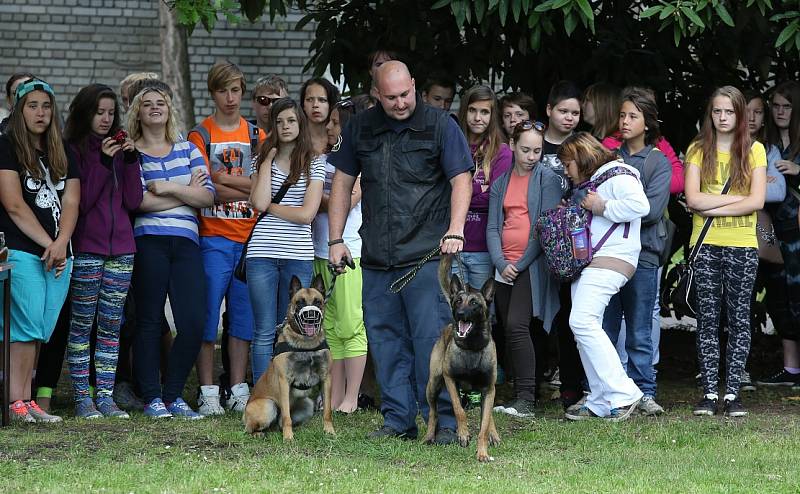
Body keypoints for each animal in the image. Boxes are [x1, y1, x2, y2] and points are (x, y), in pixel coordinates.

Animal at [241, 274, 334, 440]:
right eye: (299, 302)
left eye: (318, 301)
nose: (311, 317)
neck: (306, 344)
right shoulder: (284, 382)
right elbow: (286, 417)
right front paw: (288, 437)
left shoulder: (326, 378)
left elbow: (327, 411)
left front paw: (329, 431)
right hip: (268, 406)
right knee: (251, 428)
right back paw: (258, 434)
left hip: (307, 404)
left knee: (278, 424)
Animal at [422, 255, 496, 464]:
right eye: (458, 301)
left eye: (474, 303)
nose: (460, 314)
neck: (472, 347)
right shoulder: (450, 380)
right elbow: (458, 409)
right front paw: (463, 434)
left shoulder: (488, 388)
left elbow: (484, 426)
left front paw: (482, 452)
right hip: (433, 384)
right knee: (433, 412)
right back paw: (429, 436)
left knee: (488, 416)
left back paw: (494, 433)